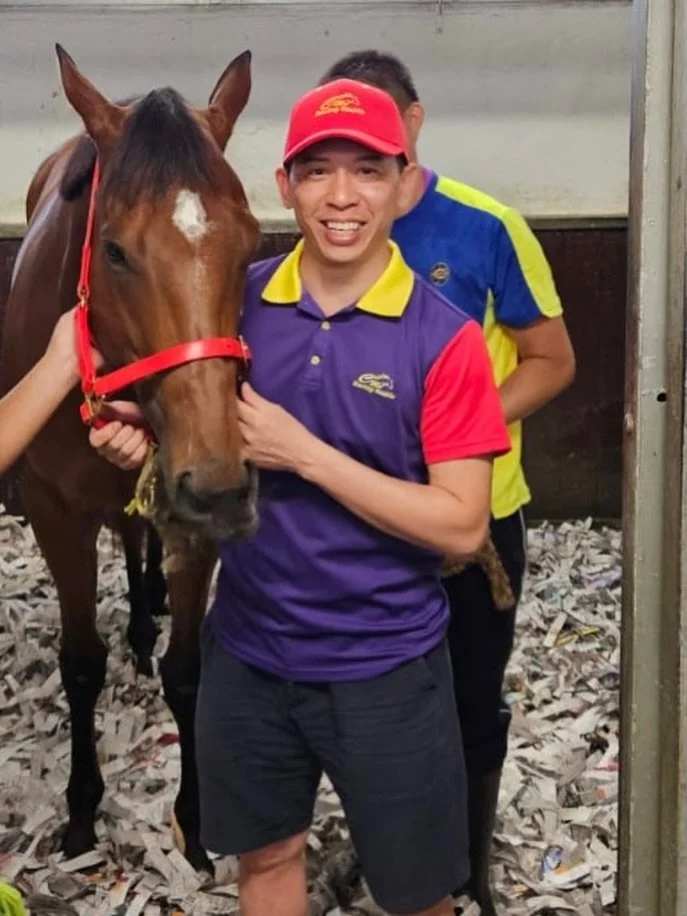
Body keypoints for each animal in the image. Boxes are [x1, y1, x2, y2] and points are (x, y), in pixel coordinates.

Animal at [0, 44, 262, 875]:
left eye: (250, 241)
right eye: (114, 249)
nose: (217, 485)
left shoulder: (196, 525)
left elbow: (188, 671)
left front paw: (196, 822)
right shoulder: (55, 513)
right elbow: (81, 663)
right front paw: (83, 815)